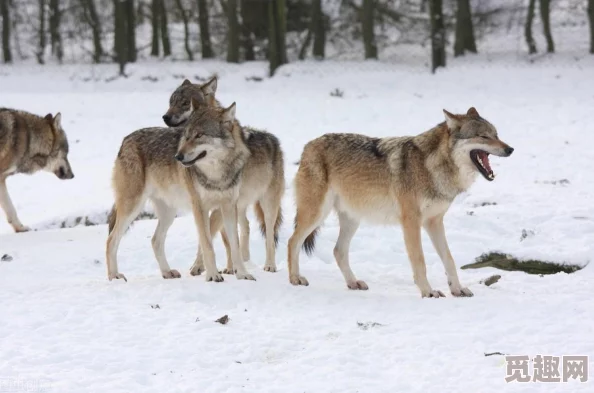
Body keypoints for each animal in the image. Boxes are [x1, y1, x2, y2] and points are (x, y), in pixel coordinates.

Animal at [162, 77, 282, 276]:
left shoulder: (221, 206)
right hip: (241, 206)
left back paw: (270, 265)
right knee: (246, 226)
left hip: (268, 205)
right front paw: (229, 268)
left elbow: (209, 236)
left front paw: (199, 266)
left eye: (185, 103)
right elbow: (222, 239)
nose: (165, 117)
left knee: (270, 236)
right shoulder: (216, 204)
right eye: (170, 102)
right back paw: (244, 259)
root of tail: (273, 138)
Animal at [284, 107, 512, 298]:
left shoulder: (434, 222)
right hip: (317, 214)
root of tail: (309, 145)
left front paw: (457, 289)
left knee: (338, 251)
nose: (510, 149)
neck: (432, 167)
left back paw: (353, 283)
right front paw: (428, 292)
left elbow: (449, 259)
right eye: (483, 136)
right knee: (292, 241)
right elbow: (419, 260)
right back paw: (295, 278)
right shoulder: (411, 221)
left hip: (352, 219)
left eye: (496, 135)